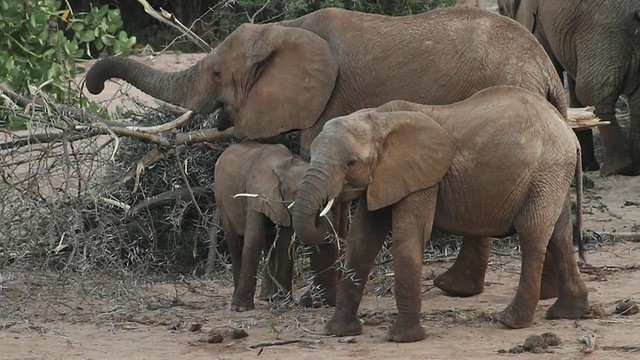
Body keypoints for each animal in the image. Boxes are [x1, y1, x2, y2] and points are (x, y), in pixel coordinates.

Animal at [215, 142, 330, 310]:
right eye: (296, 192)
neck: (284, 166)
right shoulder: (255, 192)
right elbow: (254, 238)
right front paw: (241, 309)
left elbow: (285, 243)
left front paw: (284, 303)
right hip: (221, 200)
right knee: (235, 243)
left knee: (269, 242)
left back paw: (268, 298)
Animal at [290, 85, 592, 344]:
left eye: (351, 163)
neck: (379, 119)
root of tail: (570, 133)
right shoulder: (384, 178)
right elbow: (362, 240)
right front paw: (338, 331)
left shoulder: (423, 178)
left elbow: (408, 238)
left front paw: (403, 339)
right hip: (552, 174)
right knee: (560, 235)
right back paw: (567, 313)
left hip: (545, 171)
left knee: (533, 234)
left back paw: (510, 321)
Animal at [498, 0, 640, 176]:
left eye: (501, 9)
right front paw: (587, 165)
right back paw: (634, 167)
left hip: (605, 31)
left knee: (592, 93)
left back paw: (615, 169)